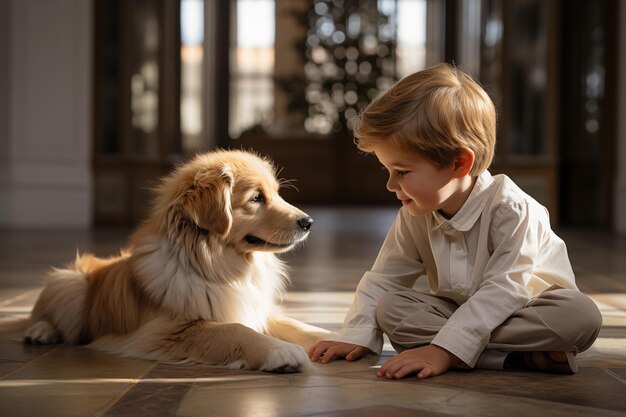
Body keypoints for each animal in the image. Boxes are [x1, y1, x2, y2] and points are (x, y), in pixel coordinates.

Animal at [12, 149, 330, 370]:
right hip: (71, 283)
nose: (309, 222)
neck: (218, 266)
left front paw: (332, 340)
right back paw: (40, 331)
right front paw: (279, 351)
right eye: (256, 199)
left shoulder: (259, 310)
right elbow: (235, 330)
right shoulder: (169, 330)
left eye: (276, 194)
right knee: (41, 316)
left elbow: (299, 326)